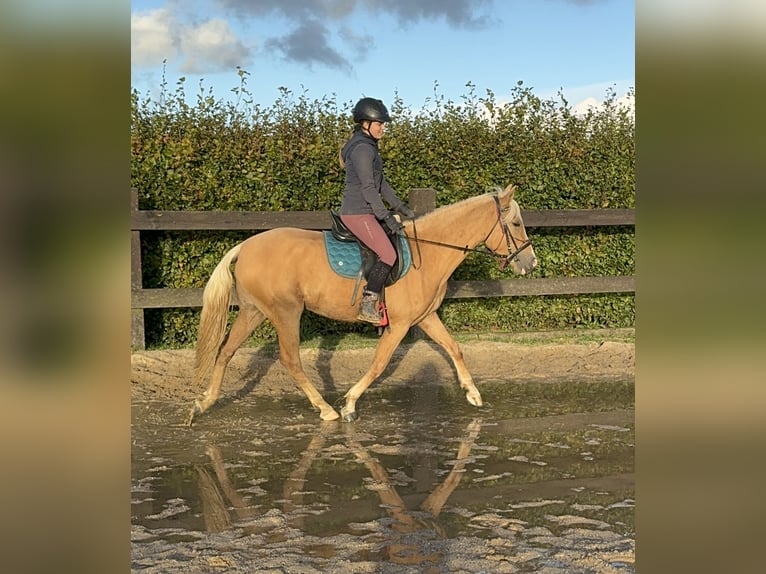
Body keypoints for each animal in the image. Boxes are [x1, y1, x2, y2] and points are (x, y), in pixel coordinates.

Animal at [188, 184, 540, 428]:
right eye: (517, 223)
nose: (530, 263)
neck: (428, 252)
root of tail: (245, 246)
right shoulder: (400, 324)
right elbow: (379, 363)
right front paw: (349, 404)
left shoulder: (425, 318)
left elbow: (454, 348)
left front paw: (472, 393)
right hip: (285, 312)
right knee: (290, 360)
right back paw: (326, 409)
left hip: (254, 312)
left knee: (225, 351)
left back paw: (203, 404)